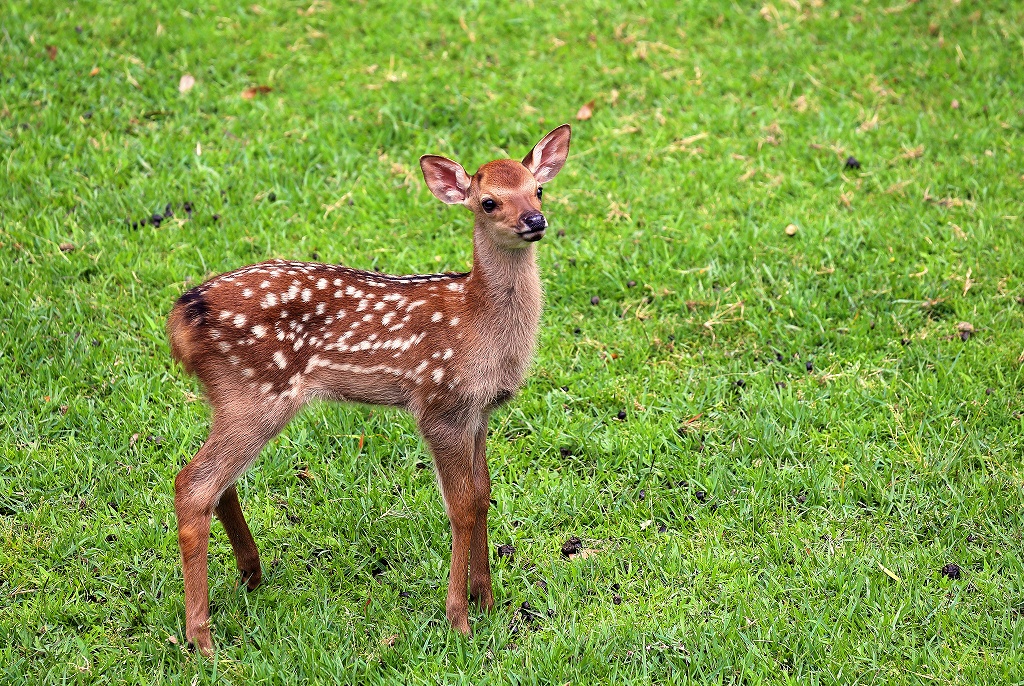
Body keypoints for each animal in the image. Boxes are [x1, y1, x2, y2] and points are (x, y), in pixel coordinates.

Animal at [166, 124, 571, 654]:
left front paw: (486, 600)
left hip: (236, 397)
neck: (478, 323)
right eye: (488, 202)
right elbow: (460, 507)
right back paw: (201, 637)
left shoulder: (479, 411)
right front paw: (459, 619)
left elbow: (483, 495)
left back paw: (251, 575)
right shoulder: (439, 404)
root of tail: (181, 319)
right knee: (193, 484)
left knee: (218, 482)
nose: (534, 220)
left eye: (538, 189)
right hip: (255, 392)